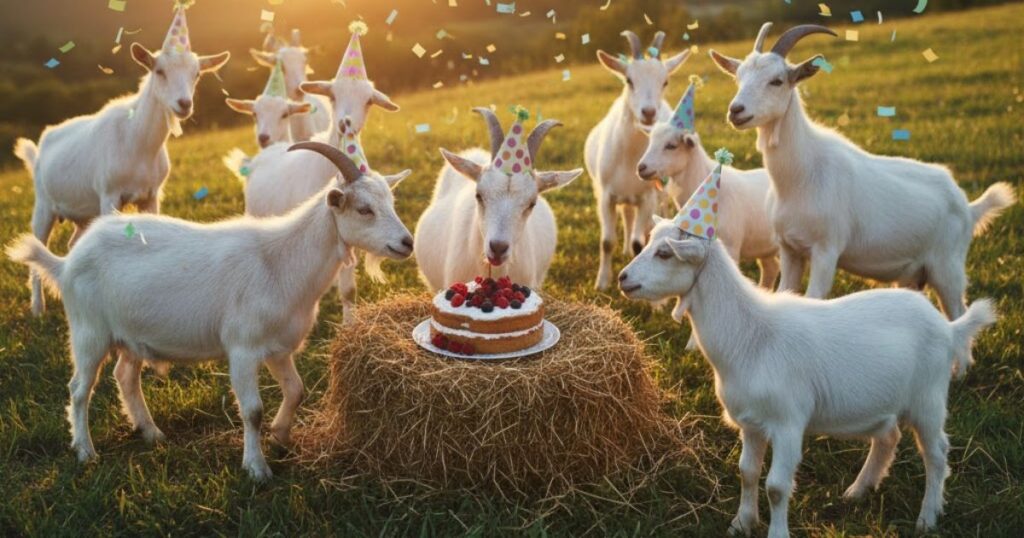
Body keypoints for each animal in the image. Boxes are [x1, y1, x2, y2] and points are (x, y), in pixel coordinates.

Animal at [6, 142, 414, 481]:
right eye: (364, 209)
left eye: (392, 203)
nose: (406, 242)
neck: (280, 262)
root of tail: (66, 263)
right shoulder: (243, 348)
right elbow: (252, 410)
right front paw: (257, 468)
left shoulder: (279, 348)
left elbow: (296, 391)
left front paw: (281, 436)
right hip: (89, 331)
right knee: (79, 389)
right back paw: (85, 451)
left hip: (130, 335)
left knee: (125, 377)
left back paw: (151, 432)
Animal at [12, 6, 229, 317]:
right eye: (159, 71)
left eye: (197, 74)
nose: (184, 104)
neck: (137, 142)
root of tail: (40, 146)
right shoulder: (109, 195)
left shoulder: (151, 195)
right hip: (43, 203)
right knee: (38, 242)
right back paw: (37, 308)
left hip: (82, 212)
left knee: (73, 242)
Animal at [585, 30, 690, 290]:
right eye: (628, 80)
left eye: (665, 81)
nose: (649, 112)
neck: (630, 157)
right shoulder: (606, 195)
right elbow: (606, 241)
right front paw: (602, 283)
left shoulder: (647, 198)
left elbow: (639, 243)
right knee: (627, 216)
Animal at [619, 218, 997, 536]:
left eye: (665, 252)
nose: (622, 278)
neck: (750, 336)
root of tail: (949, 328)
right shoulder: (751, 423)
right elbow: (747, 472)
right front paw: (741, 523)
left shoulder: (788, 422)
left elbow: (775, 487)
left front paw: (775, 532)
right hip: (889, 401)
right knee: (888, 437)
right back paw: (858, 491)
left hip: (928, 398)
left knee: (936, 453)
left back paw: (928, 517)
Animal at [710, 23, 1016, 318]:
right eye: (738, 78)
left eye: (777, 80)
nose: (736, 111)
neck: (799, 176)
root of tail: (968, 206)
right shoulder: (790, 249)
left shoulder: (826, 249)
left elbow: (814, 298)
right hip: (912, 275)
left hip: (947, 268)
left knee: (959, 312)